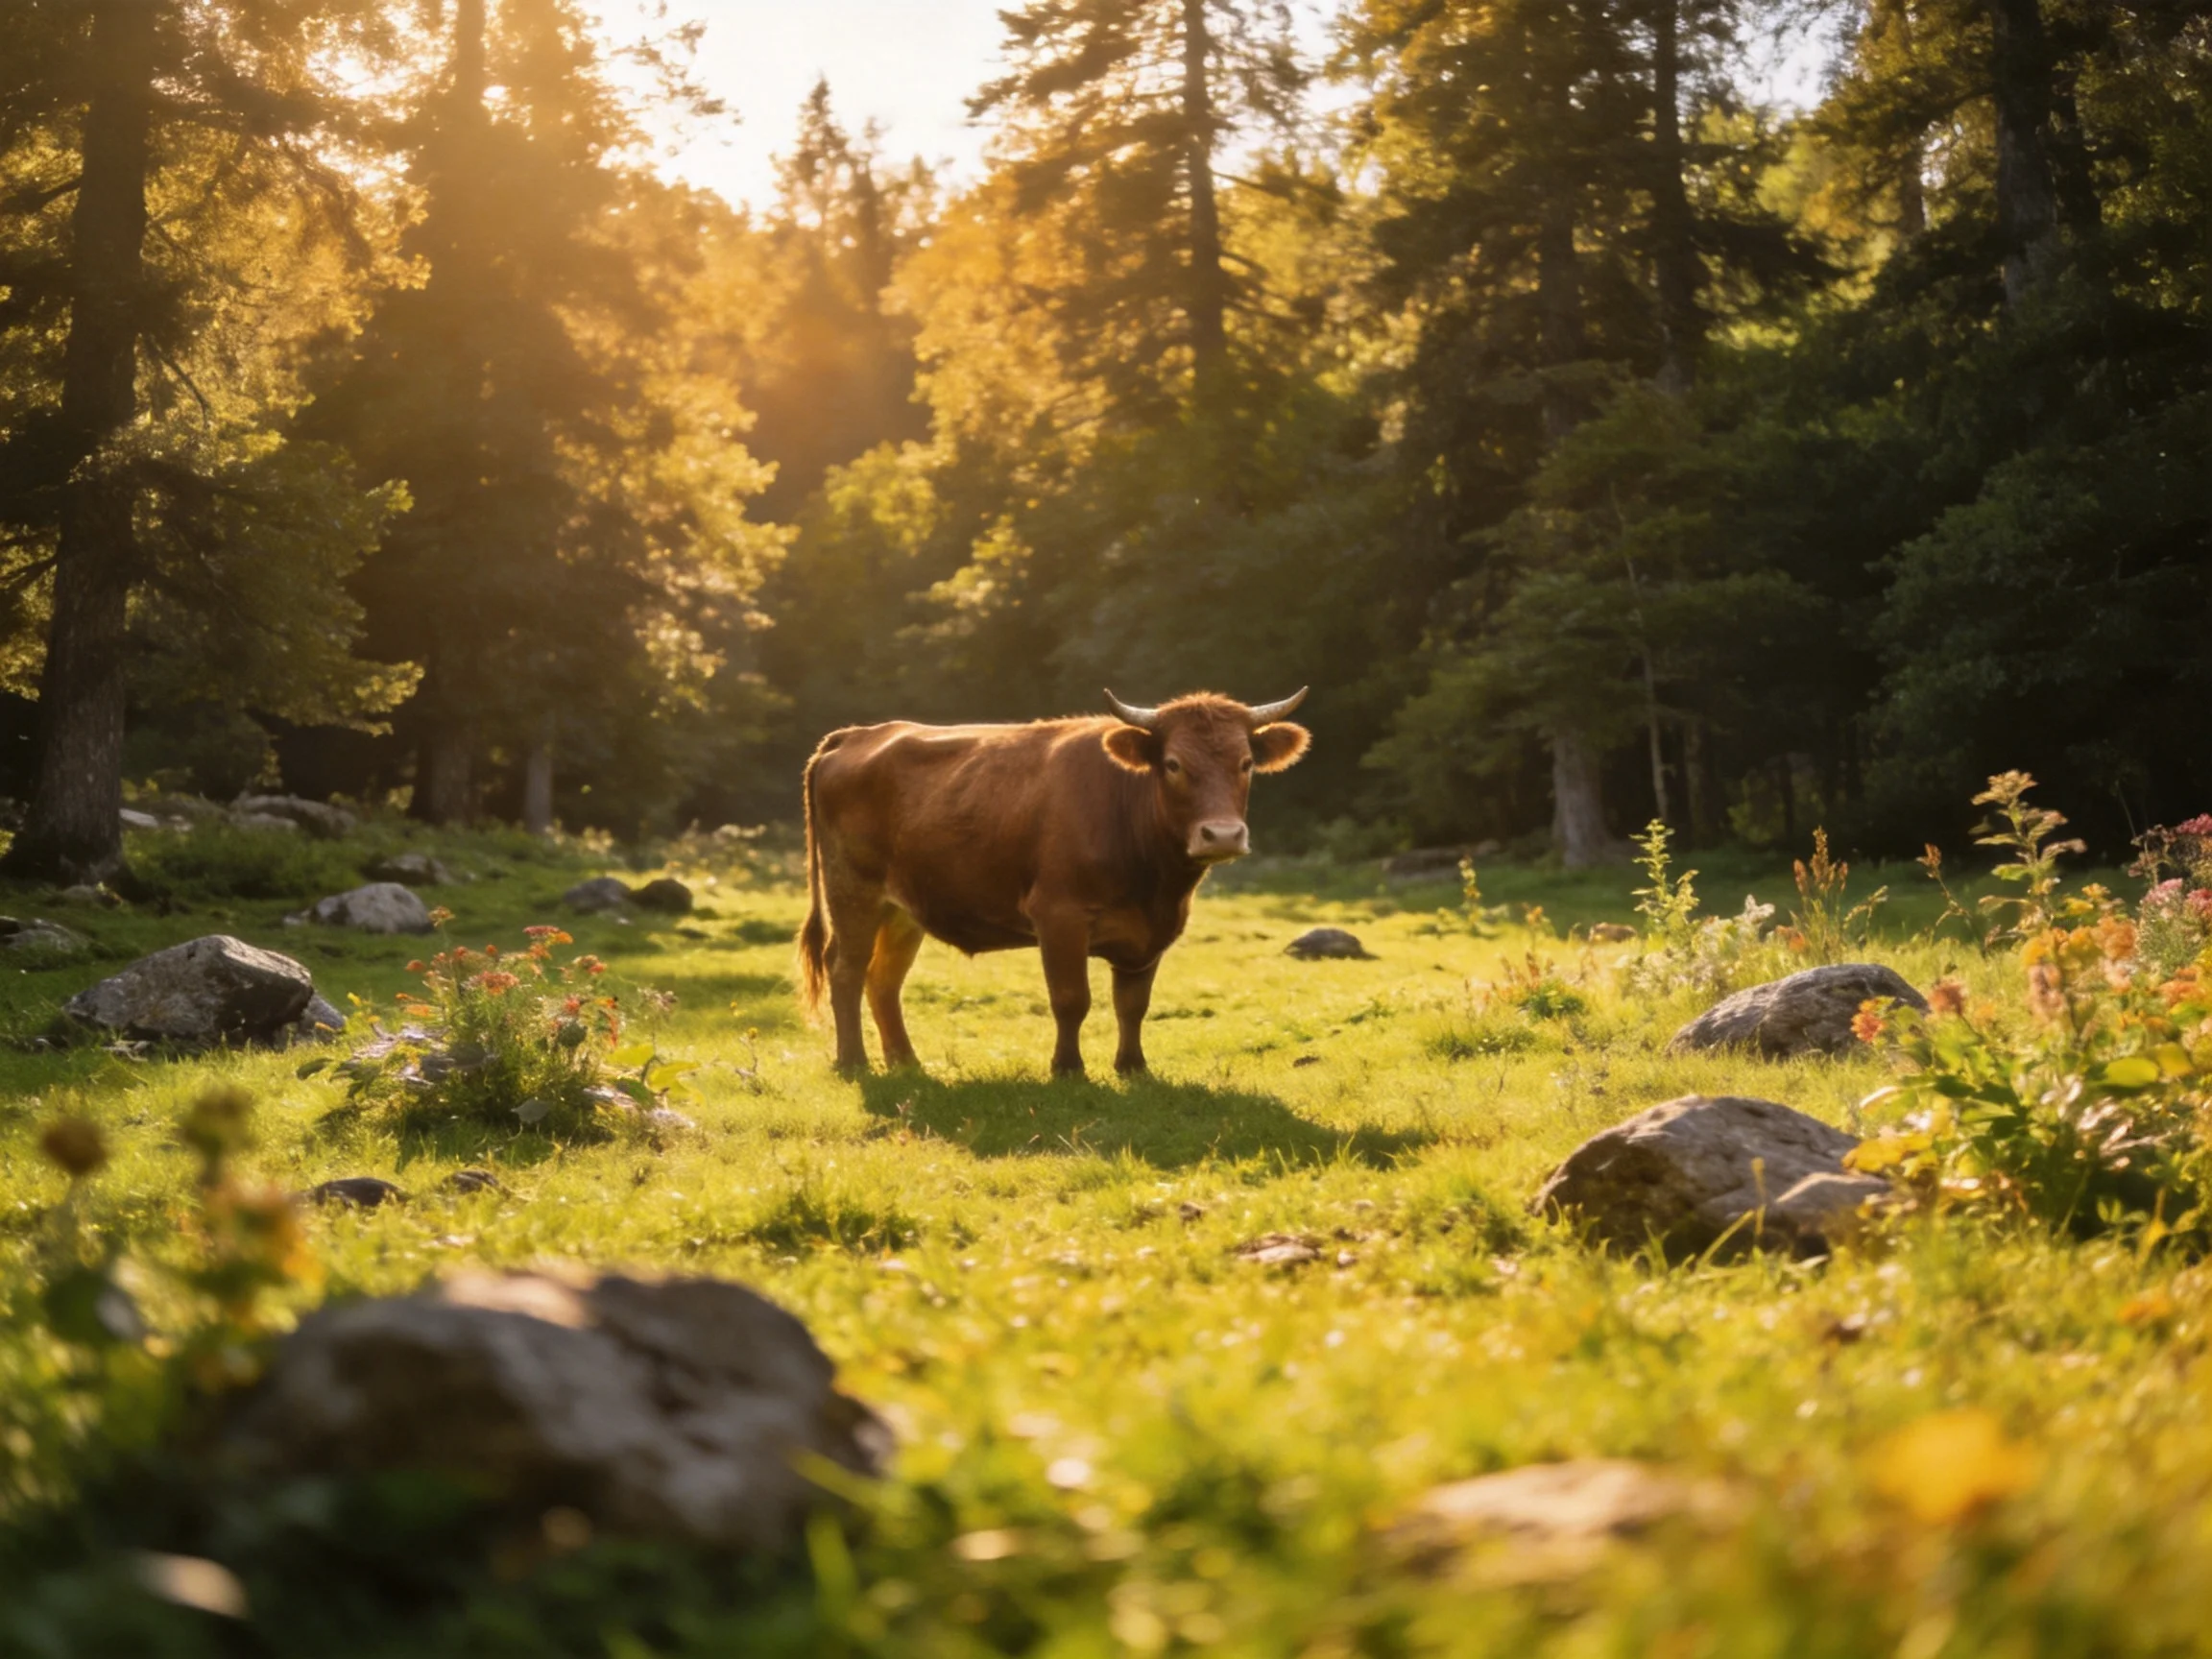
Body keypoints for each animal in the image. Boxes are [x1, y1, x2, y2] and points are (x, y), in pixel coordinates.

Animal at [796, 689, 1312, 1076]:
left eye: (1245, 763)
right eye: (1173, 764)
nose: (1221, 834)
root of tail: (857, 734)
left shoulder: (1152, 932)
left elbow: (1133, 1004)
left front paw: (1133, 1066)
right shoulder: (1059, 916)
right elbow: (1071, 999)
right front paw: (1067, 1068)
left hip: (903, 910)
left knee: (883, 980)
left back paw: (906, 1063)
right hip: (853, 893)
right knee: (846, 970)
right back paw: (853, 1062)